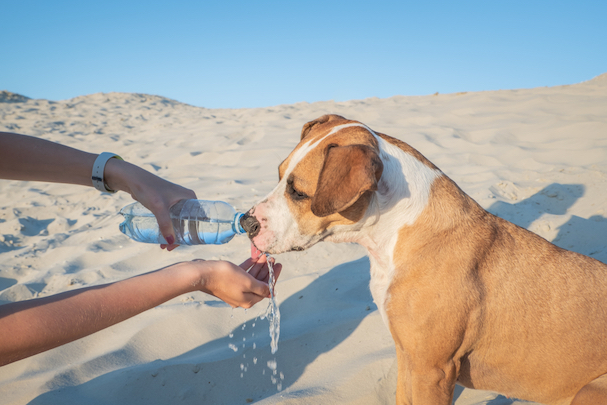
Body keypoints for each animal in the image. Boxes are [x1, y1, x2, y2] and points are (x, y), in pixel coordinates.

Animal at [239, 113, 607, 404]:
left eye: (299, 192)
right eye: (279, 175)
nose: (246, 222)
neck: (392, 233)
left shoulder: (433, 369)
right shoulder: (407, 356)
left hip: (589, 391)